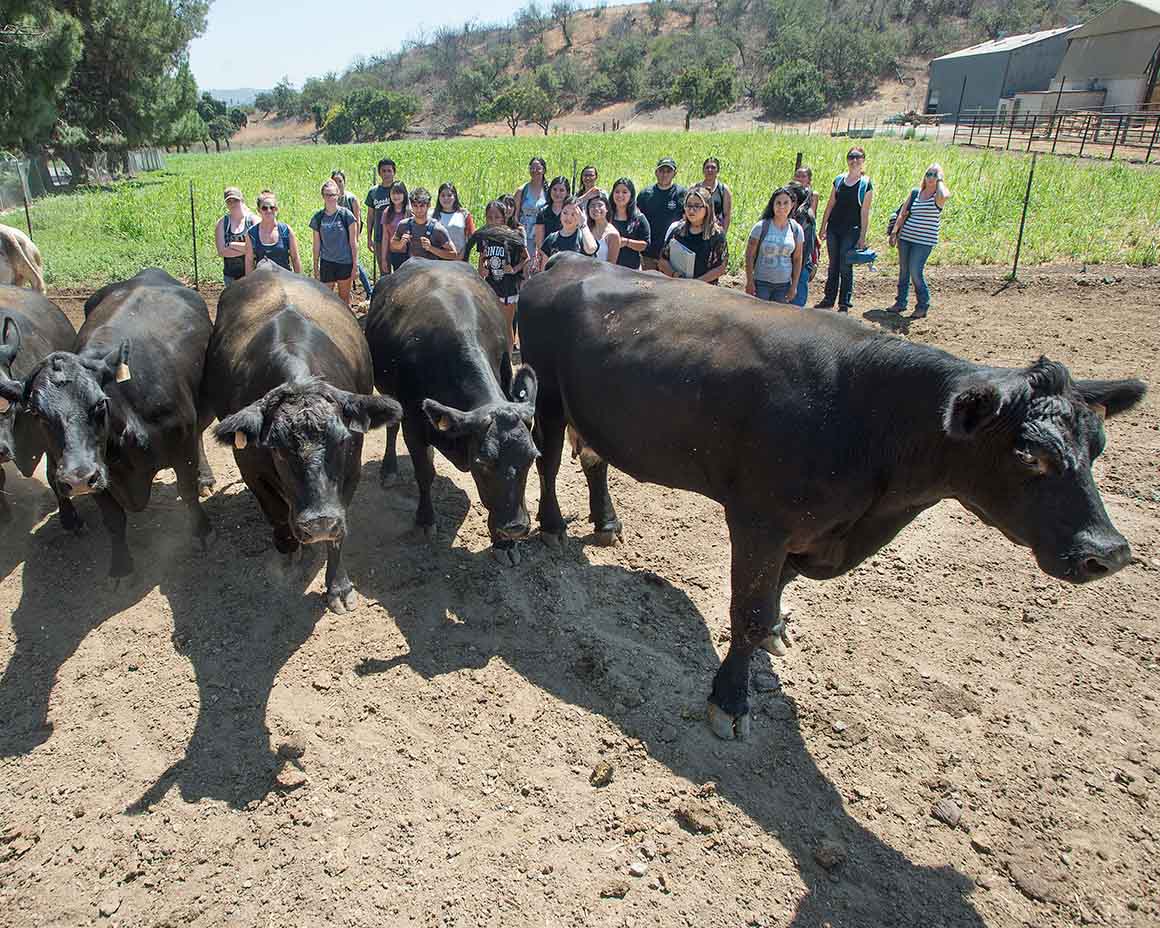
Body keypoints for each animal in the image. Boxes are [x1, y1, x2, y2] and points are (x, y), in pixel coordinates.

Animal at [205, 261, 402, 613]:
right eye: (278, 451)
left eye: (342, 441)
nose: (319, 522)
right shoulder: (250, 467)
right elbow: (275, 514)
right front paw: (289, 549)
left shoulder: (350, 472)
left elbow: (339, 534)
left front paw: (338, 586)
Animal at [363, 257, 538, 566]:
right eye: (483, 462)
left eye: (531, 458)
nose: (515, 528)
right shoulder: (414, 424)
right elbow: (424, 473)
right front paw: (425, 520)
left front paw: (505, 545)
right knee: (392, 427)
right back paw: (389, 469)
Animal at [519, 254, 1146, 740]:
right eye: (1029, 456)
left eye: (1098, 446)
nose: (1109, 552)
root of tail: (567, 260)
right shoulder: (760, 520)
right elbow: (746, 613)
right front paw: (730, 699)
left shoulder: (813, 530)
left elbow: (776, 591)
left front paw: (776, 630)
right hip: (547, 395)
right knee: (547, 462)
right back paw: (551, 525)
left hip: (593, 414)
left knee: (594, 459)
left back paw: (606, 522)